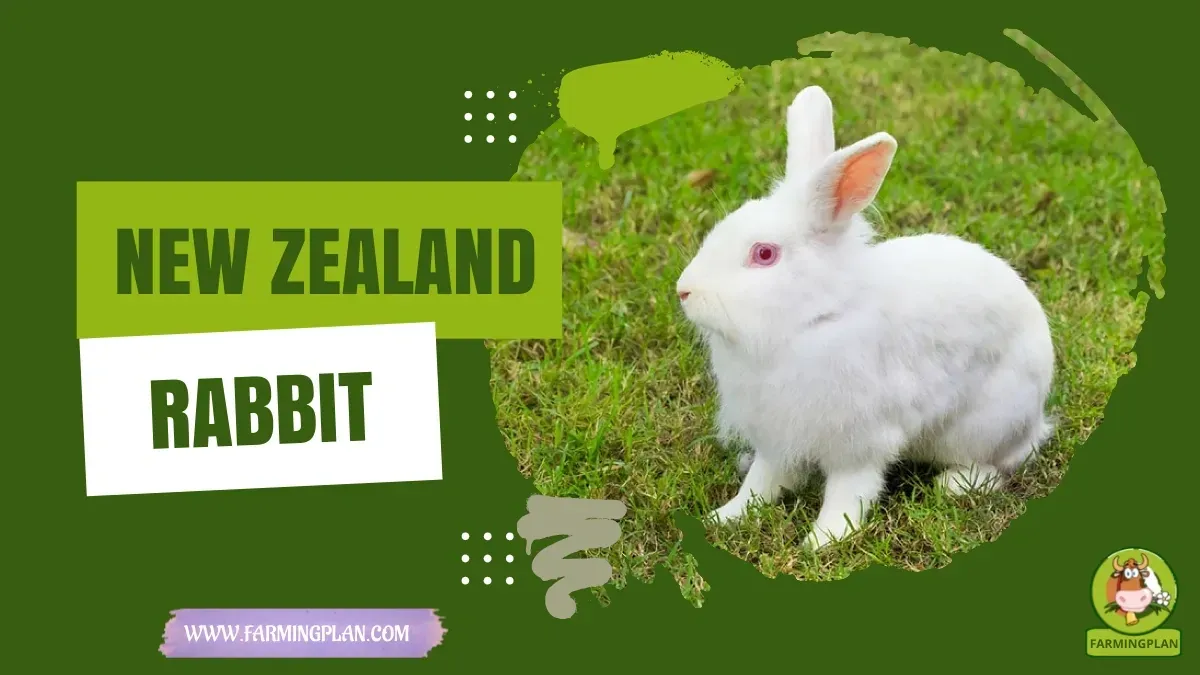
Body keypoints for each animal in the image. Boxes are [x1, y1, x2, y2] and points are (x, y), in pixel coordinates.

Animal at [676, 85, 1055, 550]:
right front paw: (724, 518)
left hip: (983, 425)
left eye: (764, 254)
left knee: (998, 463)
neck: (812, 320)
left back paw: (953, 485)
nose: (684, 290)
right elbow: (762, 483)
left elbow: (849, 491)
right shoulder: (776, 439)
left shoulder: (859, 441)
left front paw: (823, 541)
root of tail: (1037, 419)